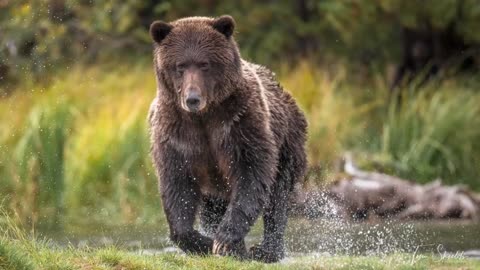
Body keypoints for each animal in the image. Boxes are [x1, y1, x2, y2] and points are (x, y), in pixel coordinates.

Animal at [146, 15, 310, 262]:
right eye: (180, 65)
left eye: (204, 64)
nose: (192, 99)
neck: (203, 117)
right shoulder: (176, 134)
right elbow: (177, 184)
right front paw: (205, 243)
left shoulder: (239, 123)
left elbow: (251, 174)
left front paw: (224, 240)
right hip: (213, 185)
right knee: (212, 208)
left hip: (287, 144)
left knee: (277, 199)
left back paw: (266, 250)